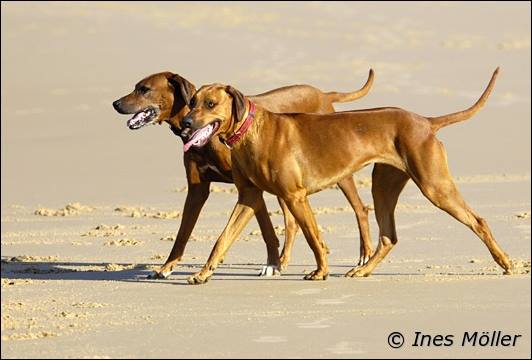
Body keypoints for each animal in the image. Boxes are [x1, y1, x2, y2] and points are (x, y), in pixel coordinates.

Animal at [113, 70, 374, 278]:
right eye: (137, 87)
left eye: (144, 89)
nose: (115, 103)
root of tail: (323, 94)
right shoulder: (198, 190)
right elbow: (182, 233)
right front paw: (167, 267)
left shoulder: (251, 189)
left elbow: (266, 229)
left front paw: (271, 264)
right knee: (292, 222)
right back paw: (286, 260)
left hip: (338, 171)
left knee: (360, 208)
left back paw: (364, 255)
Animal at [182, 66, 512, 282]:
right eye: (191, 102)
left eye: (210, 104)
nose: (185, 123)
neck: (252, 131)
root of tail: (426, 122)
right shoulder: (248, 197)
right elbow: (222, 239)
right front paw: (203, 273)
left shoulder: (295, 196)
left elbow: (314, 238)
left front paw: (320, 272)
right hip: (383, 186)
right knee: (388, 236)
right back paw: (363, 269)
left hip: (435, 185)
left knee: (478, 221)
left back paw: (506, 262)